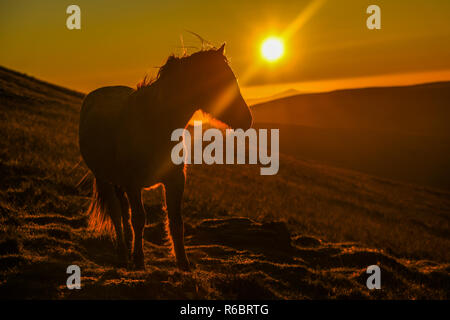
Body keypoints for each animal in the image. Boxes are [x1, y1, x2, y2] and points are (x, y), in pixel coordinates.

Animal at [78, 43, 251, 270]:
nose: (247, 119)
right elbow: (139, 220)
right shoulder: (133, 184)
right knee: (116, 213)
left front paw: (183, 263)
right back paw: (124, 255)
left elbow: (176, 222)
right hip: (104, 178)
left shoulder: (175, 180)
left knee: (123, 212)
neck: (155, 123)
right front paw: (139, 260)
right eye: (219, 81)